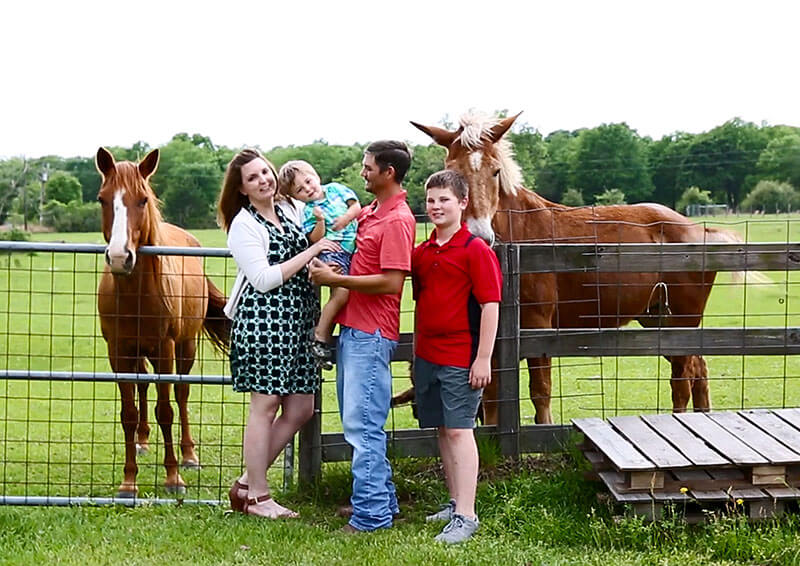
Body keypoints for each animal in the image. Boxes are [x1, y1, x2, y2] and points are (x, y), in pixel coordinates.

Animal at [96, 148, 231, 496]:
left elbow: (166, 410)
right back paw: (142, 442)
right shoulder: (118, 351)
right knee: (144, 387)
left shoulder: (165, 348)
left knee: (181, 396)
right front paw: (128, 481)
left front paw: (173, 478)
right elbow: (128, 413)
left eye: (143, 199)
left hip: (185, 347)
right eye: (103, 199)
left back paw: (189, 455)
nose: (120, 258)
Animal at [412, 112, 744, 426]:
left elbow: (540, 390)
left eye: (495, 170)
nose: (481, 236)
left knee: (683, 378)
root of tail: (698, 230)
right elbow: (491, 395)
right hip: (658, 319)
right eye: (452, 170)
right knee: (698, 370)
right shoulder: (489, 333)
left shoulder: (537, 327)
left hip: (681, 321)